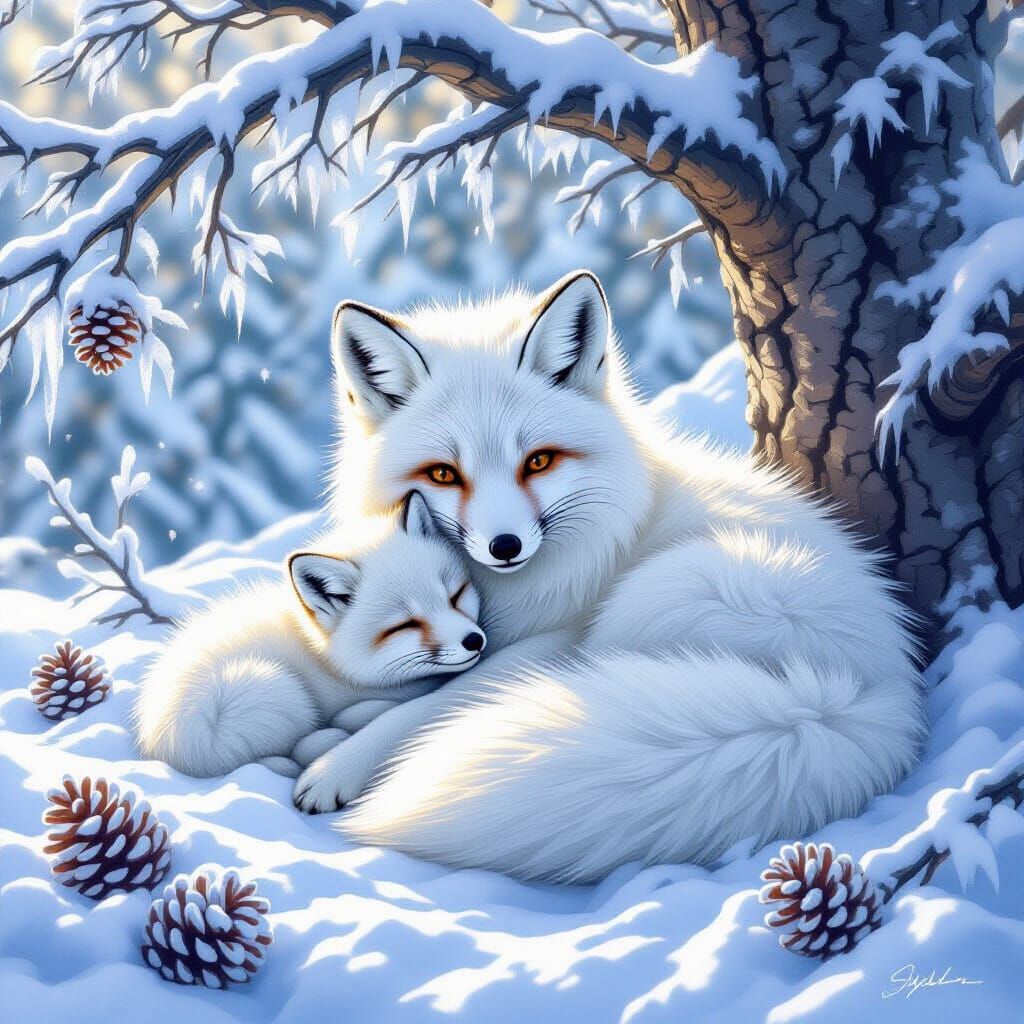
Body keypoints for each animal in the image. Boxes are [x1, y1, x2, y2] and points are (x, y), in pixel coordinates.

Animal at [133, 492, 486, 785]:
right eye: (405, 625)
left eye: (456, 596)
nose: (474, 641)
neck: (328, 663)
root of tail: (163, 740)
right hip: (274, 691)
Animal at [301, 268, 928, 883]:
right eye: (442, 474)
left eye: (538, 461)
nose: (505, 546)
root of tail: (857, 698)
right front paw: (348, 723)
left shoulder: (552, 639)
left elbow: (436, 703)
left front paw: (340, 765)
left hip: (654, 599)